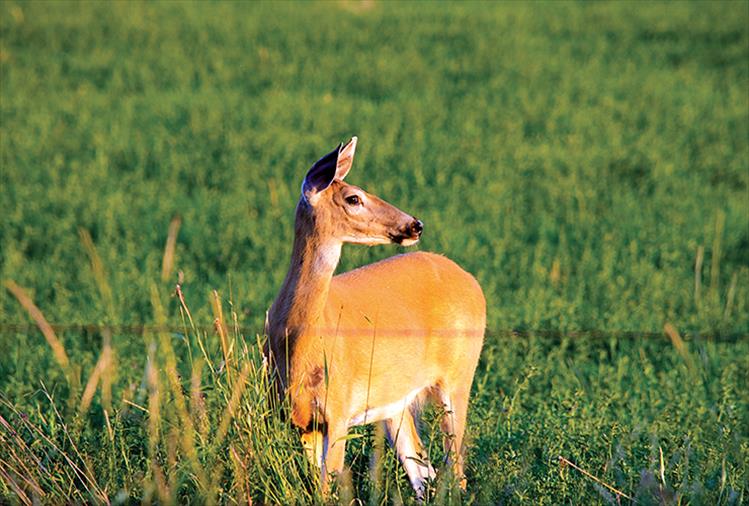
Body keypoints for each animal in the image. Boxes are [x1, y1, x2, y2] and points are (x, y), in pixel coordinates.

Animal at [262, 135, 486, 498]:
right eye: (354, 198)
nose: (415, 224)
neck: (300, 345)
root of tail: (469, 279)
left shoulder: (338, 409)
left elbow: (328, 487)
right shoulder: (302, 422)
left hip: (459, 374)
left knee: (455, 466)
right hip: (395, 398)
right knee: (423, 468)